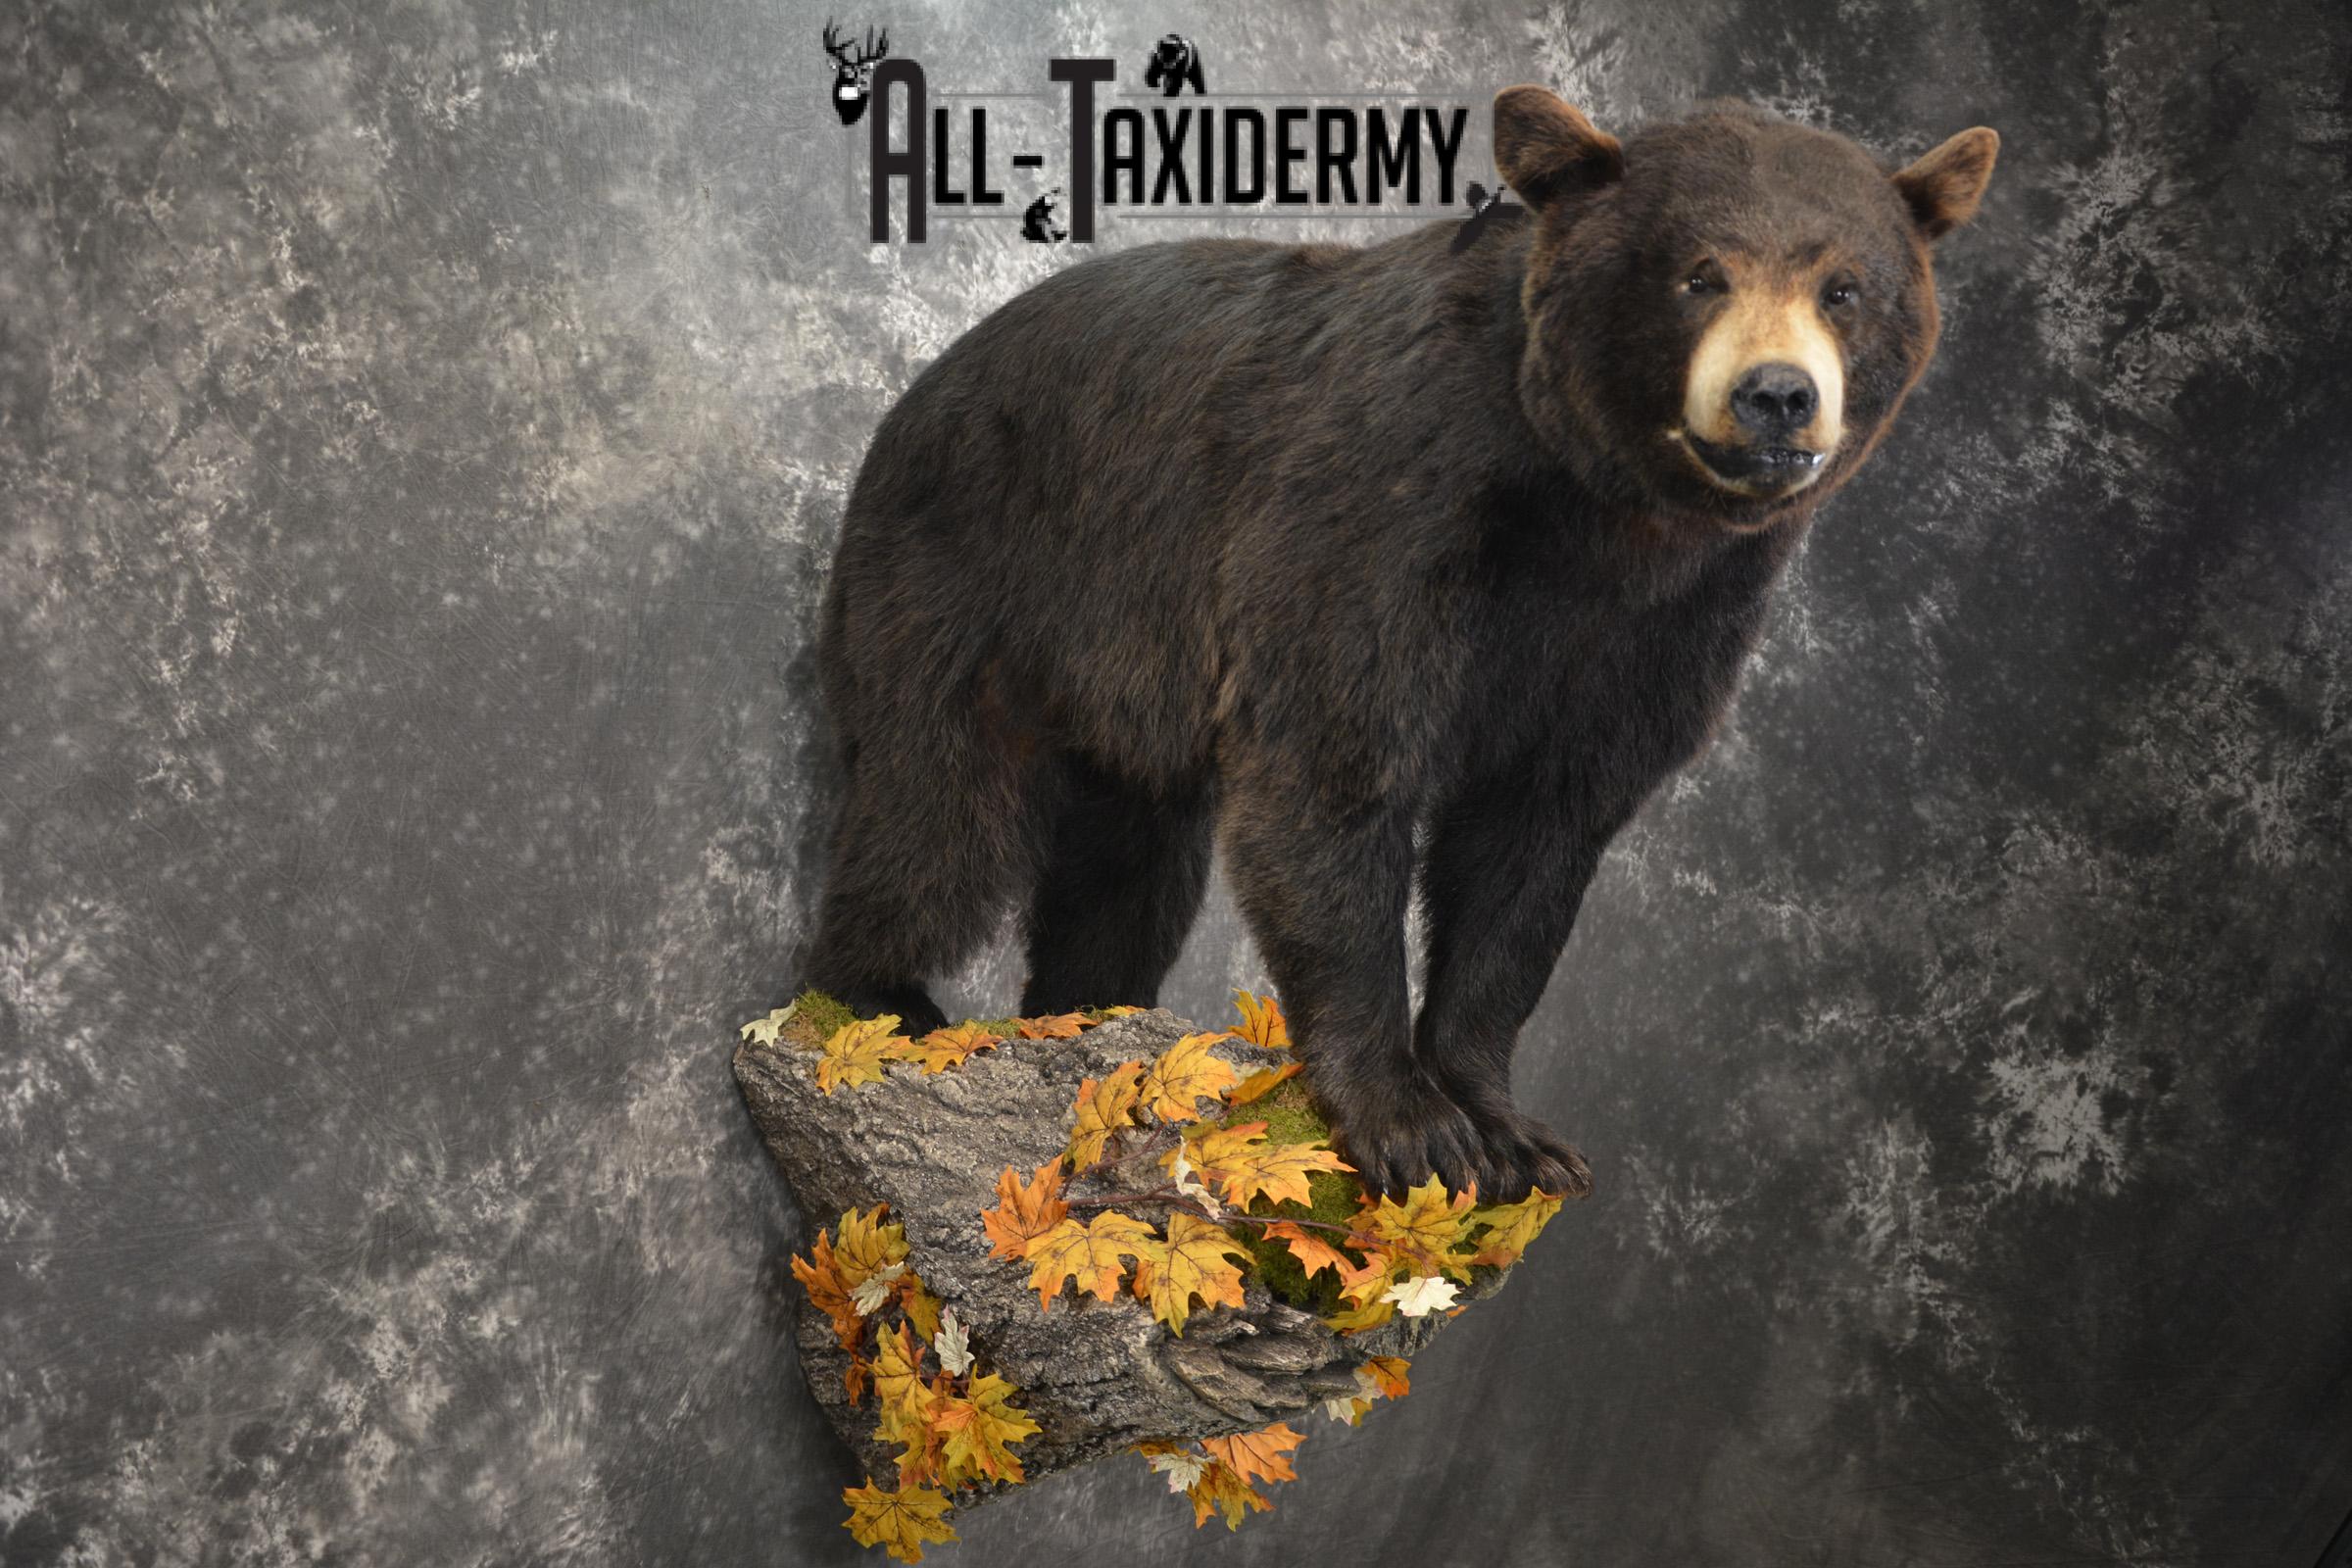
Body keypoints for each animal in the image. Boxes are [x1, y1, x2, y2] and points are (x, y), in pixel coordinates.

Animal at [801, 86, 1998, 1201]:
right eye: (1699, 275)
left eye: (1844, 287)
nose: (1777, 395)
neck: (1597, 511)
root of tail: (918, 392)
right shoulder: (1385, 515)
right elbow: (1336, 770)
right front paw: (1408, 1122)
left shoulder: (1663, 629)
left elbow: (1533, 850)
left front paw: (1507, 1126)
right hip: (972, 580)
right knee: (936, 812)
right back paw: (879, 1002)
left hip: (1124, 687)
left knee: (1129, 864)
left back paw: (1091, 1013)